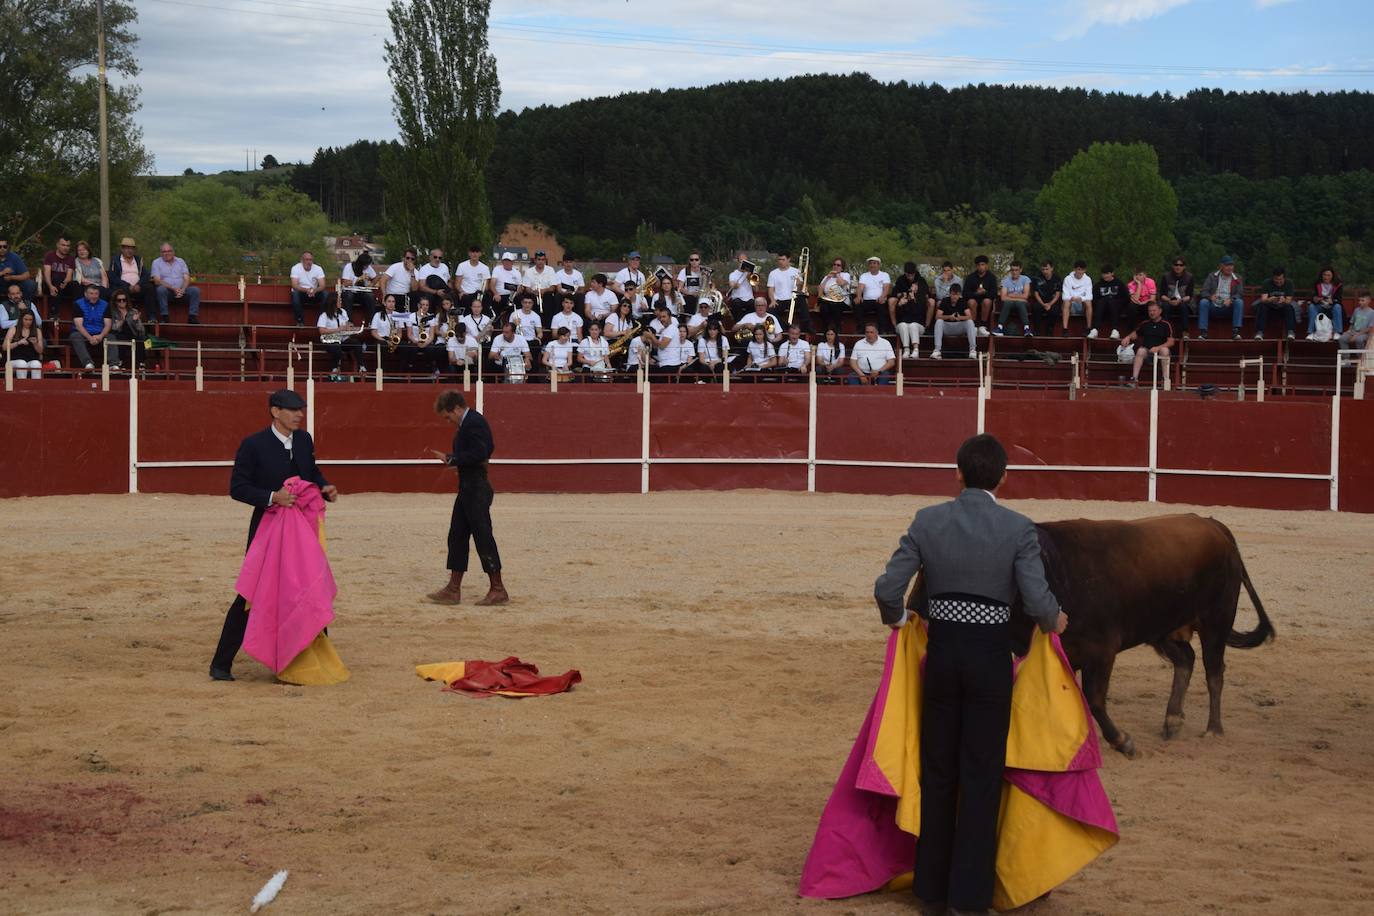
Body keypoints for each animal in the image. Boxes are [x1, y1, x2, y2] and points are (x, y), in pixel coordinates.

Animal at [906, 516, 1269, 758]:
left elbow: (1094, 699)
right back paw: (1172, 720)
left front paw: (1123, 741)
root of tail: (1214, 524)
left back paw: (1213, 729)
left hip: (1216, 620)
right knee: (1186, 660)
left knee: (1214, 671)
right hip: (1162, 628)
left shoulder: (1101, 650)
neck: (1052, 575)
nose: (910, 607)